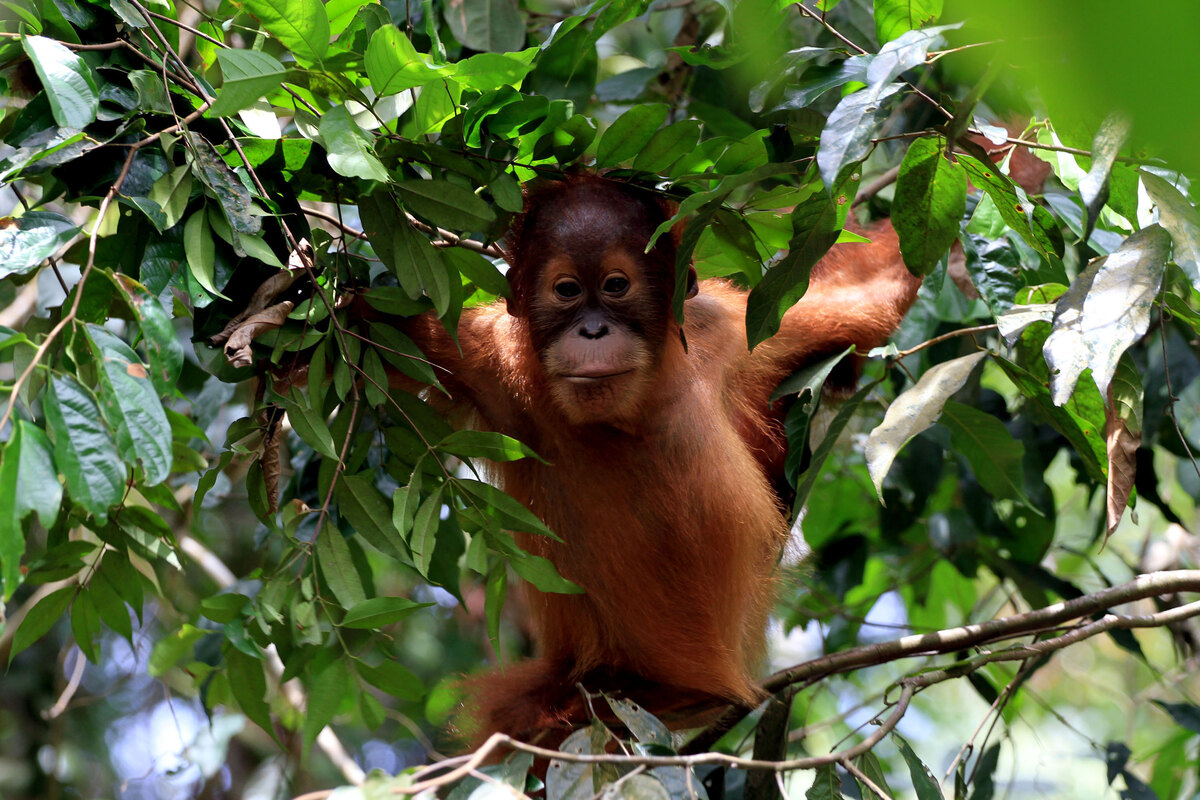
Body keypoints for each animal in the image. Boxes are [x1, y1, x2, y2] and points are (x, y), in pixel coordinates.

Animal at [391, 173, 922, 743]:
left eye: (615, 286)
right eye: (566, 290)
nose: (593, 331)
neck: (636, 407)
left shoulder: (740, 329)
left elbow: (863, 294)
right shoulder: (483, 356)